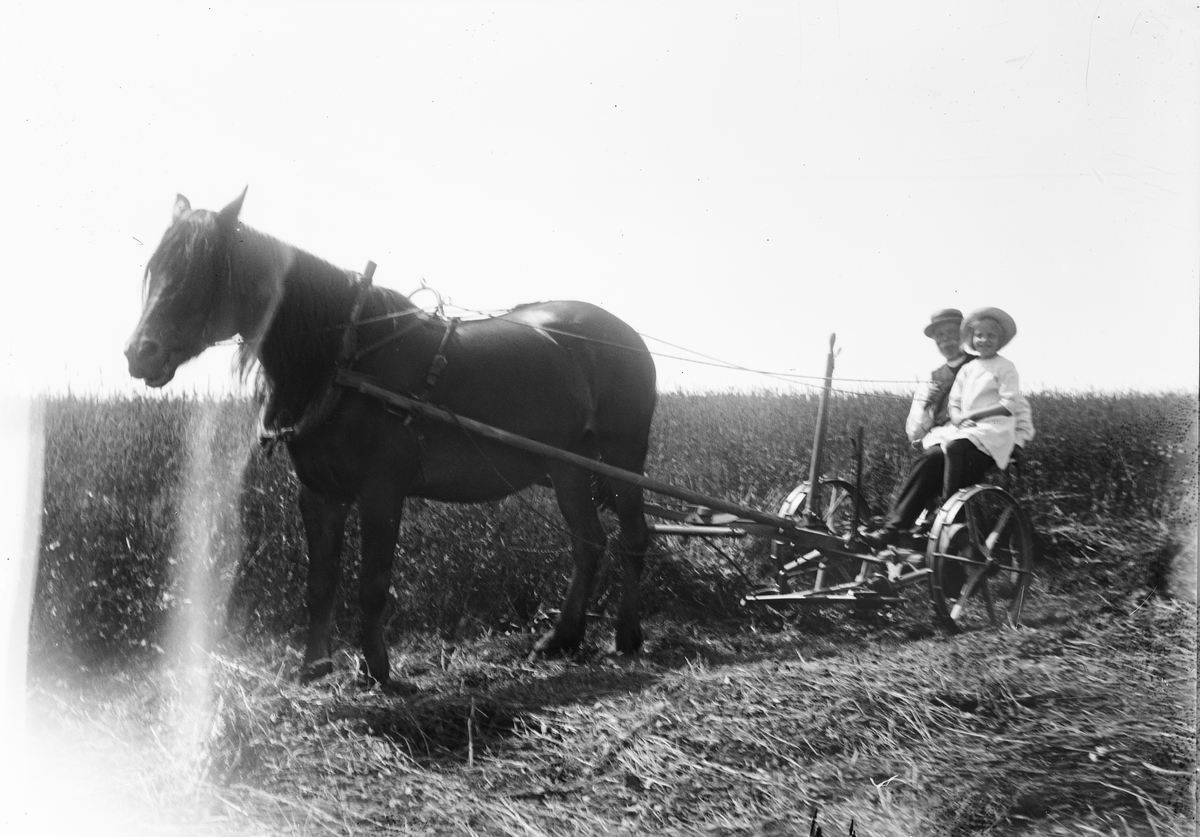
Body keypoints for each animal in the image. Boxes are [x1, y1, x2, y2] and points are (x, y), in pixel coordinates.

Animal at [124, 189, 657, 685]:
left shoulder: (382, 490)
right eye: (154, 269)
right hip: (569, 465)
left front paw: (376, 668)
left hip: (623, 454)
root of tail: (625, 334)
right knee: (588, 543)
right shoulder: (319, 493)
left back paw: (627, 635)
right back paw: (562, 637)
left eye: (202, 270)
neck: (345, 358)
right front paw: (315, 666)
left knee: (632, 537)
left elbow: (372, 582)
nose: (139, 353)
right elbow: (320, 583)